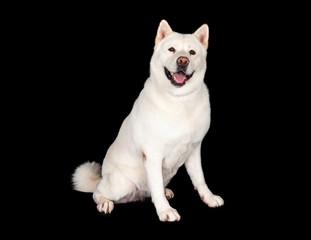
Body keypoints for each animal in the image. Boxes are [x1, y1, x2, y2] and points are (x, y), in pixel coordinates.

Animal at [72, 19, 224, 222]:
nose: (183, 61)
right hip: (120, 184)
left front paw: (208, 197)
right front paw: (165, 210)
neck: (180, 100)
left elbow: (199, 178)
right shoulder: (153, 155)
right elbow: (156, 185)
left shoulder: (194, 150)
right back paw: (105, 202)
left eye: (192, 52)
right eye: (171, 49)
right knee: (98, 192)